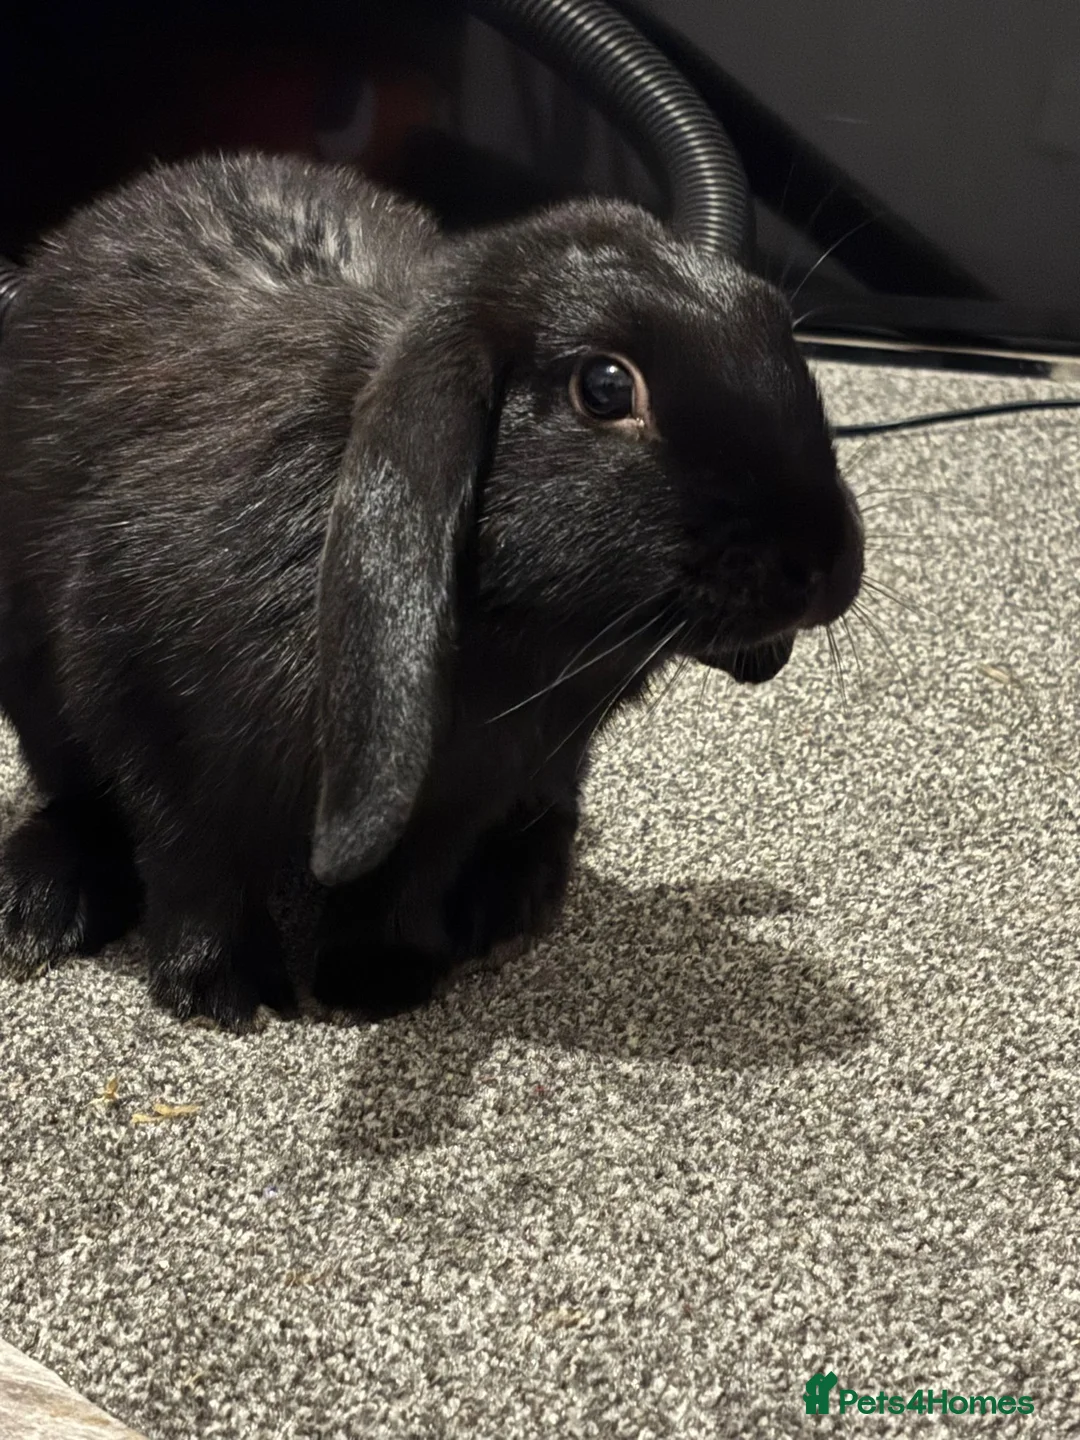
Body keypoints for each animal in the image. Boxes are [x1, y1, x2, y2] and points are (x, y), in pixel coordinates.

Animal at [0, 152, 863, 1029]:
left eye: (777, 321)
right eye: (606, 388)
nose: (824, 563)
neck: (532, 648)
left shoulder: (465, 791)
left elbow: (407, 878)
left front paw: (380, 980)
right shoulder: (154, 712)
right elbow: (194, 862)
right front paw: (223, 991)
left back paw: (509, 903)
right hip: (36, 699)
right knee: (84, 802)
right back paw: (36, 908)